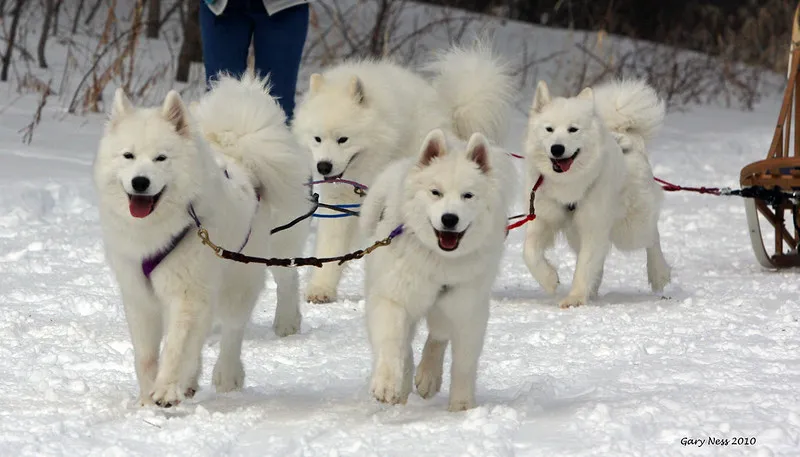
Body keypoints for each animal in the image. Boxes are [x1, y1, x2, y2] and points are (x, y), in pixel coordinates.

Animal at [94, 75, 312, 406]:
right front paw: (146, 398)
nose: (140, 182)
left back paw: (229, 374)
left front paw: (165, 390)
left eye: (161, 158)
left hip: (239, 277)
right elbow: (146, 356)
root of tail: (241, 159)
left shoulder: (187, 293)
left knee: (235, 327)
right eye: (128, 156)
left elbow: (175, 347)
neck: (158, 230)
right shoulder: (139, 297)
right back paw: (191, 382)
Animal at [290, 44, 510, 304]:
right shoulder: (339, 200)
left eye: (343, 139)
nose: (323, 166)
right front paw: (321, 288)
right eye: (317, 139)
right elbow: (330, 245)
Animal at [520, 78, 672, 308]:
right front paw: (550, 280)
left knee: (652, 237)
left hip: (630, 229)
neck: (568, 183)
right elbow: (530, 253)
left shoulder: (593, 227)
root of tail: (626, 136)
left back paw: (658, 273)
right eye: (549, 129)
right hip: (577, 234)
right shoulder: (542, 219)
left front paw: (574, 298)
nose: (557, 148)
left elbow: (584, 266)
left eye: (573, 129)